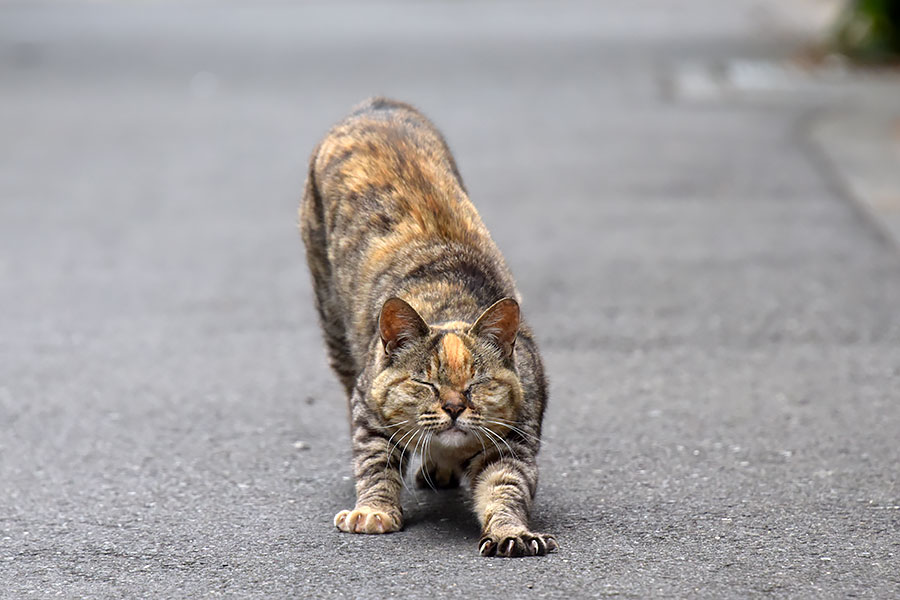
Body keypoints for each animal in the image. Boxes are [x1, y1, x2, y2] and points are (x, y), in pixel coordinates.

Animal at [300, 97, 556, 556]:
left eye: (476, 384)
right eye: (425, 383)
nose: (454, 407)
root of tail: (378, 104)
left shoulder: (514, 441)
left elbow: (505, 487)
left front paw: (510, 532)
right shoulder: (368, 409)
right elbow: (376, 461)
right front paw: (374, 511)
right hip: (333, 325)